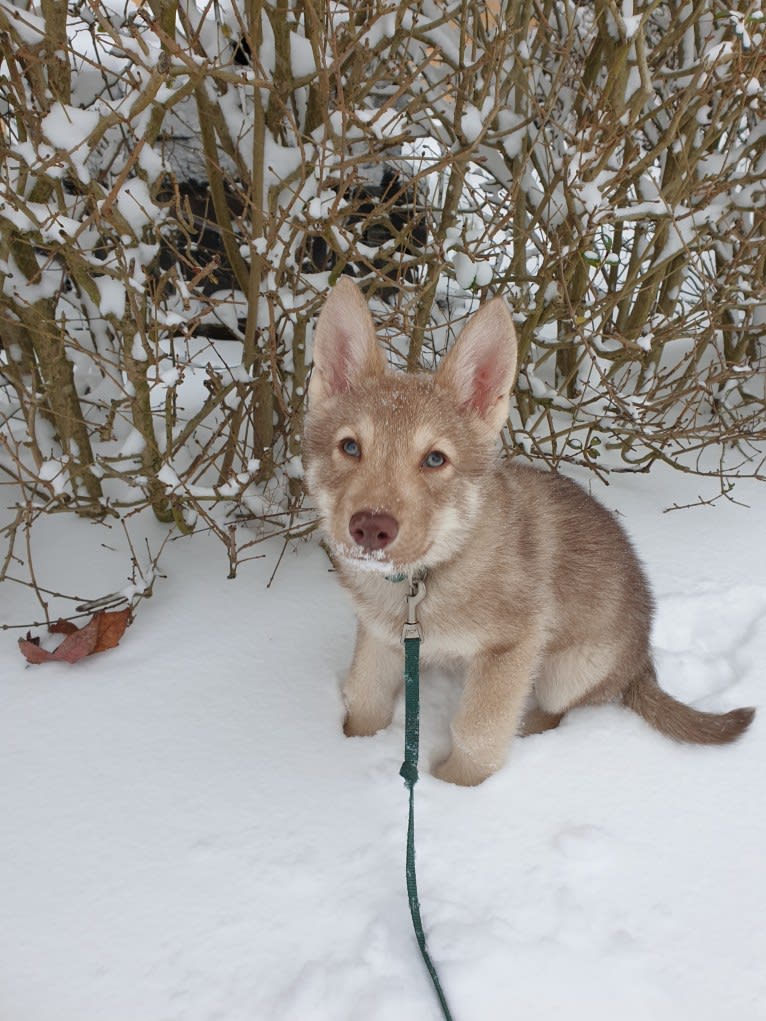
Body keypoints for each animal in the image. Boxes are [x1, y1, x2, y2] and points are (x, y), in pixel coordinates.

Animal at [302, 275, 755, 784]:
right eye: (350, 447)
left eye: (435, 459)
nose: (370, 529)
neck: (424, 580)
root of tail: (643, 664)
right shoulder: (380, 636)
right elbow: (364, 699)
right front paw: (349, 752)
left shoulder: (512, 648)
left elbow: (478, 735)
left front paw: (453, 789)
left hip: (568, 670)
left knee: (555, 712)